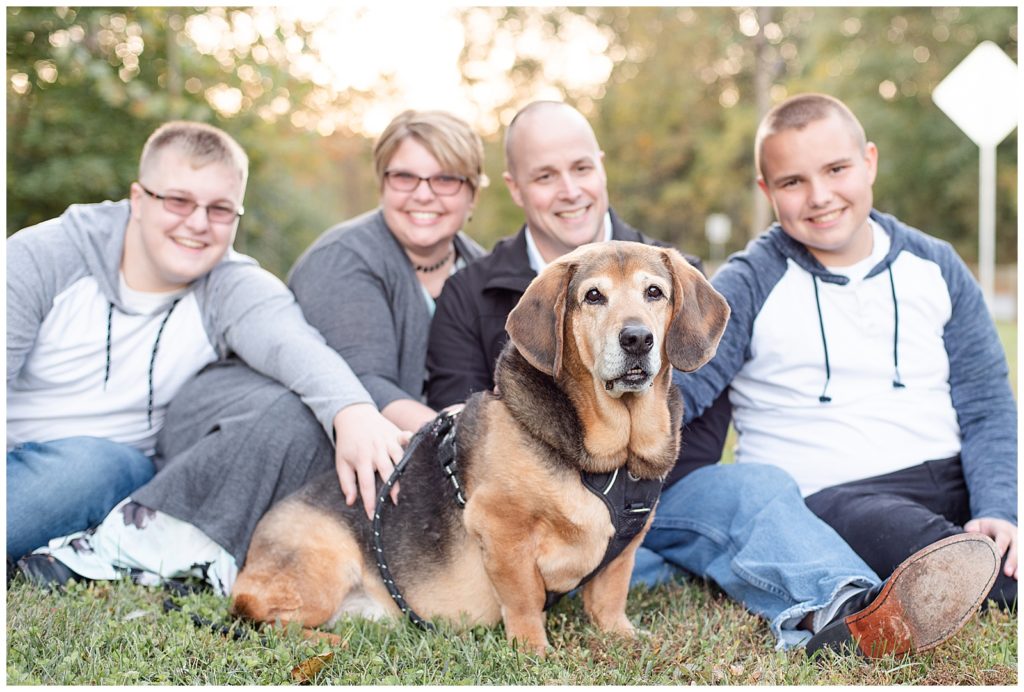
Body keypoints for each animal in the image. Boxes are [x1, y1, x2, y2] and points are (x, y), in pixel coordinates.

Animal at [232, 241, 729, 655]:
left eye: (654, 292)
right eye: (593, 296)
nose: (637, 338)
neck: (610, 459)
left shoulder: (626, 546)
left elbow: (609, 597)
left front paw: (622, 636)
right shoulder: (502, 529)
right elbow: (525, 599)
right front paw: (533, 650)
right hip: (321, 573)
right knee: (256, 620)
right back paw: (328, 641)